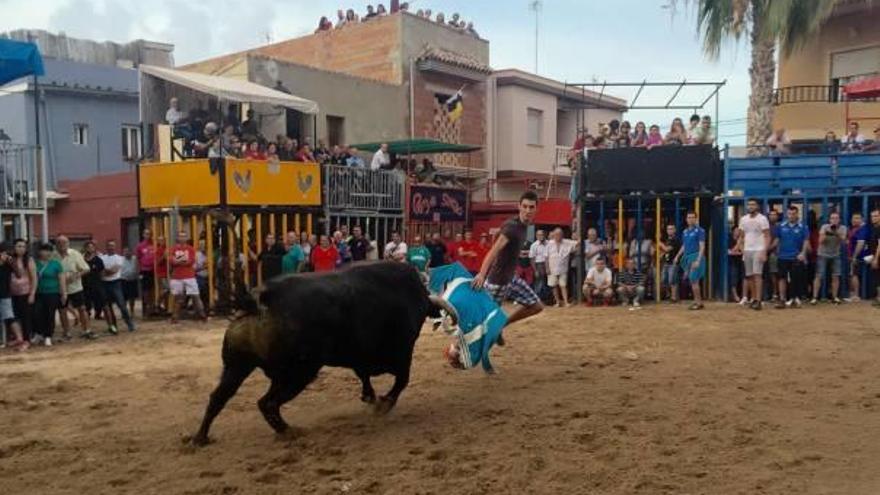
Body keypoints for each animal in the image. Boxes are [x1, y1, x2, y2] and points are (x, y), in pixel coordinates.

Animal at [191, 262, 454, 448]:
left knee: (218, 398)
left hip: (237, 366)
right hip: (298, 373)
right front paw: (383, 404)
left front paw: (370, 398)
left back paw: (200, 438)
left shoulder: (361, 358)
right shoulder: (402, 352)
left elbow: (365, 377)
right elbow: (401, 381)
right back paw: (289, 431)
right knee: (267, 403)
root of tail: (260, 300)